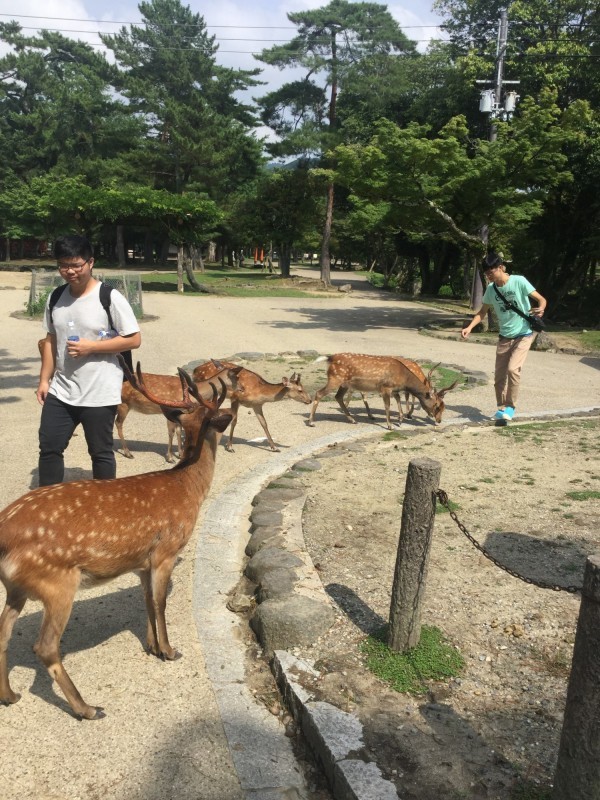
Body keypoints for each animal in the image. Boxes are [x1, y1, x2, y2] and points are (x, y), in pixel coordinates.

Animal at [0, 362, 232, 720]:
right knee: (46, 646)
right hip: (56, 583)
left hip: (17, 588)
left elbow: (147, 601)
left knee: (3, 635)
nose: (231, 417)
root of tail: (2, 530)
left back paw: (10, 695)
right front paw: (169, 650)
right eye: (219, 414)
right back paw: (87, 708)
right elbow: (161, 602)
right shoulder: (165, 551)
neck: (188, 488)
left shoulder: (141, 562)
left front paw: (152, 647)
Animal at [308, 354, 458, 432]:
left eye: (444, 406)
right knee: (318, 393)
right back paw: (311, 422)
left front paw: (400, 421)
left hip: (344, 384)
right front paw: (390, 425)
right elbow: (387, 406)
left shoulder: (395, 390)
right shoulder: (386, 387)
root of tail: (330, 357)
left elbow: (398, 402)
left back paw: (352, 420)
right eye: (436, 405)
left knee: (338, 397)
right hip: (335, 379)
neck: (403, 377)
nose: (439, 420)